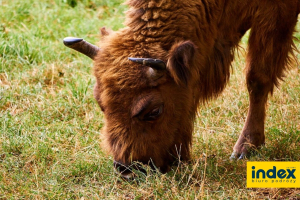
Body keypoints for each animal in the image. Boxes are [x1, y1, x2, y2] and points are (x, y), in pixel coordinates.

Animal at [63, 0, 300, 178]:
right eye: (101, 105)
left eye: (154, 111)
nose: (128, 170)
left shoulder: (276, 12)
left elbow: (257, 77)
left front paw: (245, 149)